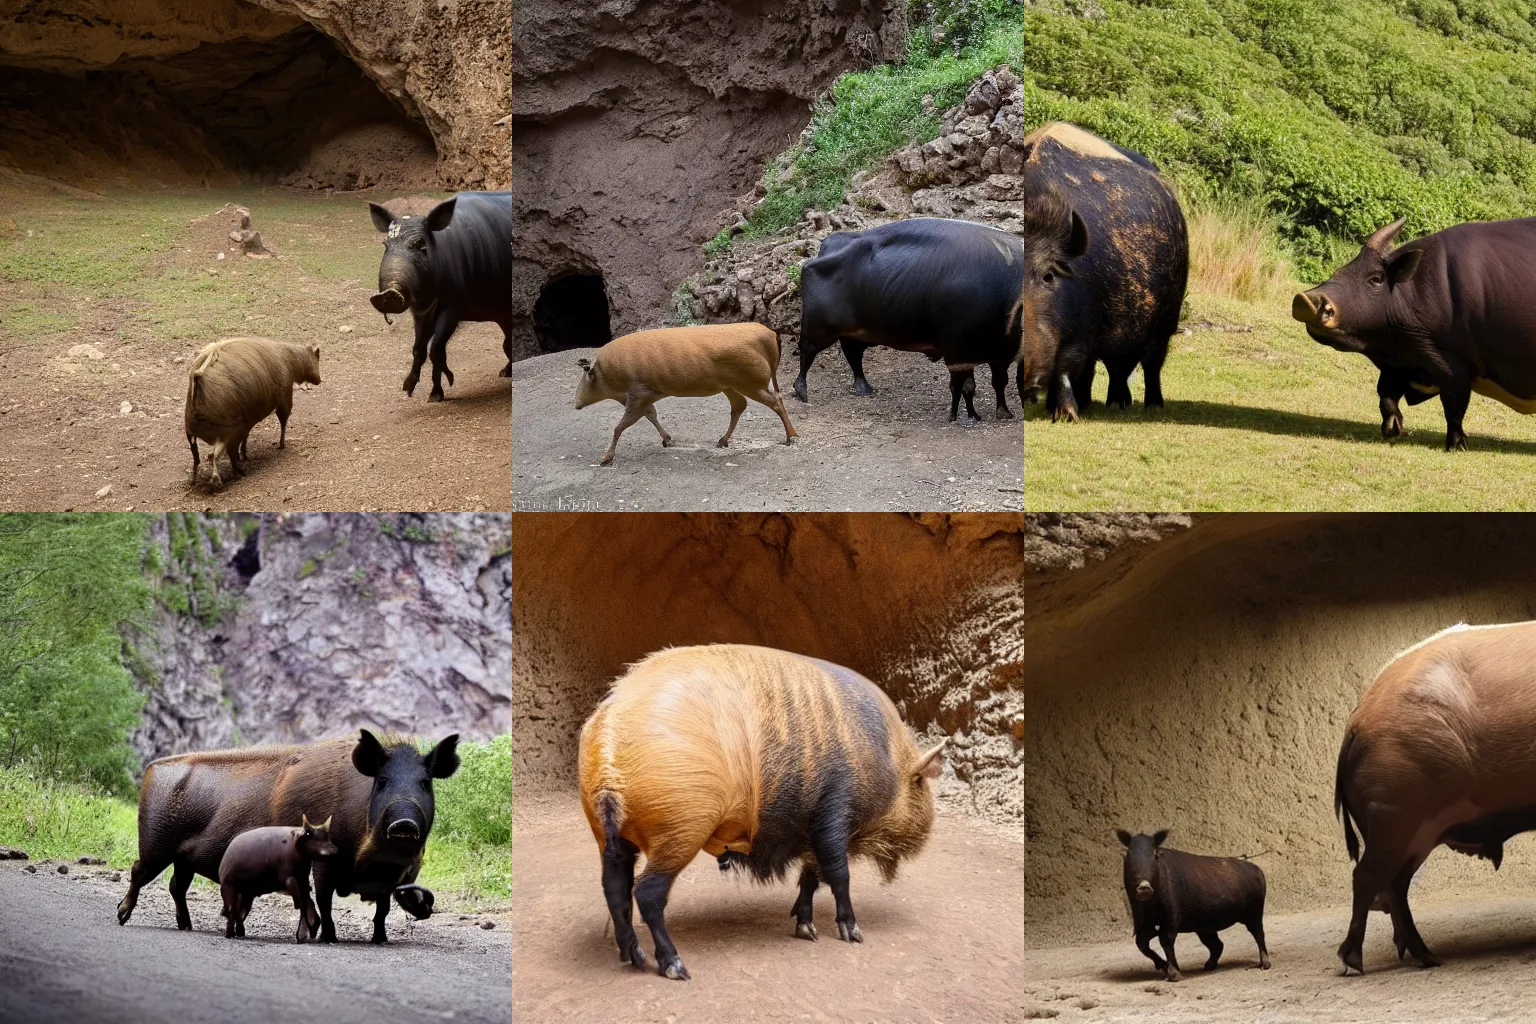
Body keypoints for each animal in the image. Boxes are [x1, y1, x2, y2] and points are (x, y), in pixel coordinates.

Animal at [215, 816, 334, 945]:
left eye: (327, 835)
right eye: (309, 834)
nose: (333, 850)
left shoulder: (303, 881)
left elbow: (306, 903)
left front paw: (308, 930)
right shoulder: (290, 881)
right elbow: (302, 905)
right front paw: (302, 934)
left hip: (246, 893)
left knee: (239, 912)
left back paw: (239, 932)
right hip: (229, 888)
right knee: (232, 910)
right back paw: (230, 933)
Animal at [367, 194, 513, 402]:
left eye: (420, 245)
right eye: (385, 245)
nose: (389, 294)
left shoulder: (452, 308)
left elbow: (436, 349)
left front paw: (439, 392)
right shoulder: (421, 312)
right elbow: (419, 349)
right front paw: (408, 390)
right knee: (508, 341)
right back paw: (504, 372)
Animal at [792, 216, 1019, 423]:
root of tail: (826, 247)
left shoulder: (999, 354)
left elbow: (998, 382)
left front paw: (1001, 412)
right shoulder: (959, 352)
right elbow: (966, 386)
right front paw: (963, 416)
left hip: (854, 332)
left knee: (852, 354)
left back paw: (864, 388)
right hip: (819, 329)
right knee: (807, 351)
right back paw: (801, 390)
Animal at [1019, 122, 1185, 420]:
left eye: (1048, 275)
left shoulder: (1082, 332)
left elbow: (1065, 368)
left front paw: (1067, 416)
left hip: (1167, 320)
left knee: (1149, 364)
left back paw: (1146, 405)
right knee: (1114, 367)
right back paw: (1106, 403)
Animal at [1118, 829, 1271, 982]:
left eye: (1155, 854)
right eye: (1128, 854)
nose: (1144, 886)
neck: (1149, 904)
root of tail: (1257, 870)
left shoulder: (1171, 918)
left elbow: (1166, 940)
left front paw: (1174, 974)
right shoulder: (1145, 923)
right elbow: (1141, 943)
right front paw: (1163, 966)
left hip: (1254, 913)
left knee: (1258, 934)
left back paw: (1264, 964)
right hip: (1205, 927)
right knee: (1217, 945)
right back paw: (1209, 965)